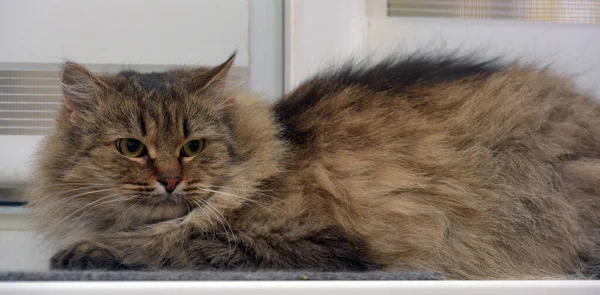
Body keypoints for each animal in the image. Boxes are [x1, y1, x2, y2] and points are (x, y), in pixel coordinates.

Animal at [25, 52, 600, 280]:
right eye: (130, 147)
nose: (170, 180)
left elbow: (176, 243)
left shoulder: (319, 244)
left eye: (193, 146)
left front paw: (90, 250)